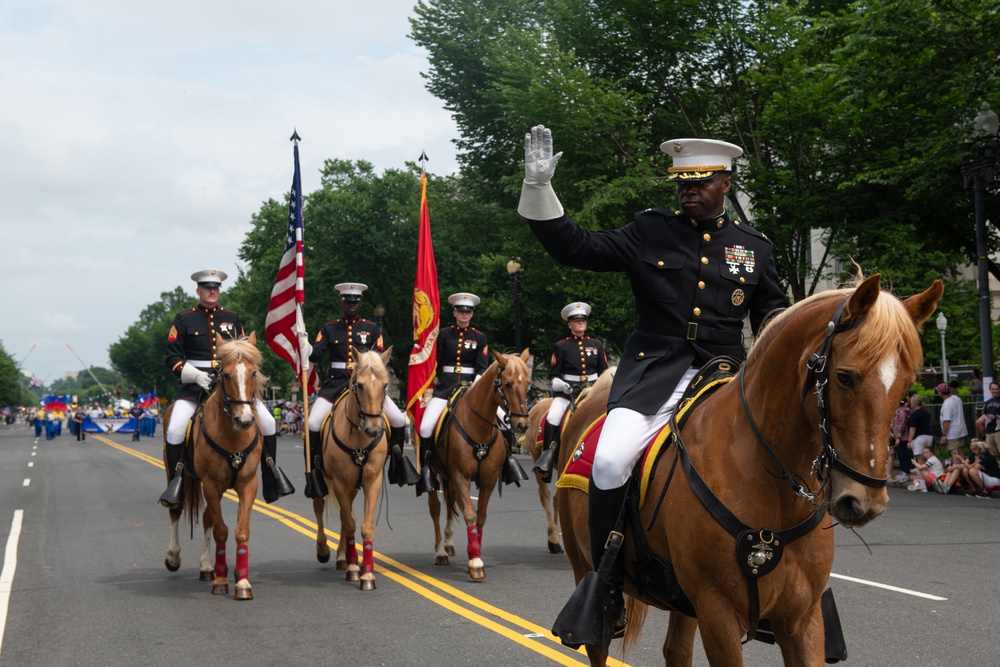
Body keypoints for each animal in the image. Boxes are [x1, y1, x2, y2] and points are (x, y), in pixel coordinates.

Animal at [163, 334, 266, 600]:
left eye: (253, 372)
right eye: (226, 375)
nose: (245, 420)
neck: (232, 435)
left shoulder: (248, 484)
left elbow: (239, 530)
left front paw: (242, 582)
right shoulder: (211, 484)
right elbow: (221, 530)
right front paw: (221, 581)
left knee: (208, 517)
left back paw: (207, 566)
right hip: (176, 474)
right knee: (175, 511)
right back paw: (174, 556)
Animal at [314, 348, 392, 592]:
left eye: (385, 385)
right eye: (359, 385)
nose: (373, 429)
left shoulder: (371, 481)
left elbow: (364, 526)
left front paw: (366, 573)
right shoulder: (340, 482)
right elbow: (350, 523)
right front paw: (353, 570)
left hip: (353, 487)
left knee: (342, 513)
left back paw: (343, 556)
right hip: (322, 479)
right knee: (319, 507)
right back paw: (325, 551)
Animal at [424, 350, 532, 580]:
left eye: (528, 383)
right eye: (507, 383)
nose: (522, 425)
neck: (478, 426)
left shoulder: (489, 479)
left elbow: (480, 517)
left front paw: (475, 553)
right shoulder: (461, 476)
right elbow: (470, 514)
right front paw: (475, 562)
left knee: (449, 504)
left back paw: (448, 544)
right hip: (435, 474)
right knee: (436, 508)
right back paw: (440, 551)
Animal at [560, 274, 940, 664]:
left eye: (907, 384)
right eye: (845, 376)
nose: (864, 502)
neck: (769, 484)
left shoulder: (803, 619)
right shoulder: (719, 614)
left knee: (676, 650)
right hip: (585, 568)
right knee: (598, 641)